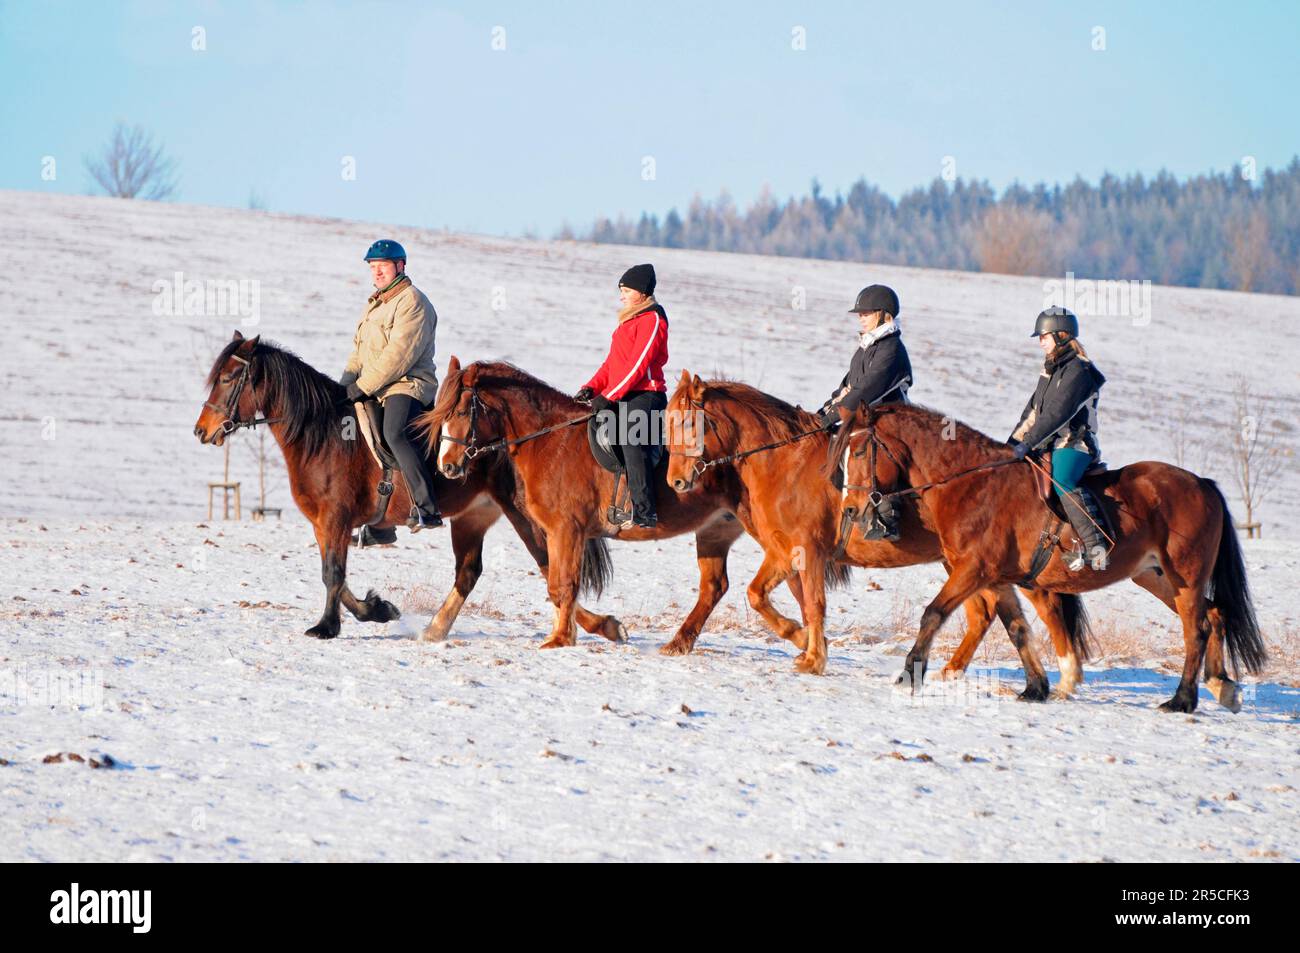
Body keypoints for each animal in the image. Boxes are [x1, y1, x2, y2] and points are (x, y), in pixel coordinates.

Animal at [193, 331, 624, 643]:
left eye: (228, 378)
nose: (202, 431)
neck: (325, 435)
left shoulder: (335, 519)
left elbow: (333, 574)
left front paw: (326, 627)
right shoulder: (323, 524)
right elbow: (336, 576)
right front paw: (377, 610)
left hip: (526, 514)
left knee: (547, 564)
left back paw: (599, 626)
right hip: (474, 516)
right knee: (477, 571)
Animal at [663, 371, 1092, 693]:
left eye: (686, 422)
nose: (676, 482)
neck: (784, 461)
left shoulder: (807, 550)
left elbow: (812, 603)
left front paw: (812, 655)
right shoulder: (783, 552)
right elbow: (759, 595)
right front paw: (804, 643)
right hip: (962, 563)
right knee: (986, 612)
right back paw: (954, 670)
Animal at [832, 402, 1267, 712]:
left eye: (860, 449)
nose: (851, 510)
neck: (970, 484)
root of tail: (1201, 484)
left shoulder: (973, 570)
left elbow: (933, 614)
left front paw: (909, 674)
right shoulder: (996, 577)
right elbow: (1017, 628)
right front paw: (1037, 687)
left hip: (1184, 576)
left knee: (1196, 628)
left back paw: (1182, 700)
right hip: (1155, 576)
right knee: (1213, 614)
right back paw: (1221, 686)